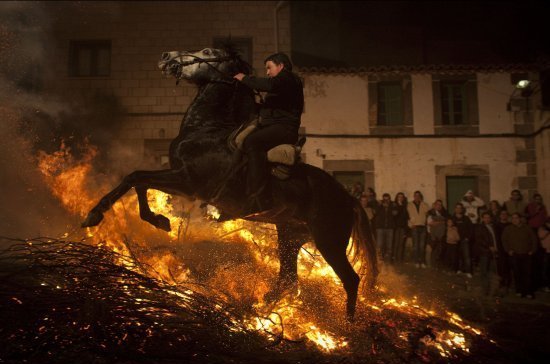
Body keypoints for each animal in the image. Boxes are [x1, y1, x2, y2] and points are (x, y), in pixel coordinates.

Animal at [81, 44, 380, 318]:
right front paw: (159, 220)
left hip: (329, 241)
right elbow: (139, 182)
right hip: (290, 236)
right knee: (288, 280)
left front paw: (95, 215)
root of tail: (349, 197)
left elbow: (135, 177)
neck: (208, 129)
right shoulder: (180, 179)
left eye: (208, 52)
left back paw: (348, 325)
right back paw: (261, 309)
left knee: (350, 280)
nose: (167, 57)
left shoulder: (188, 183)